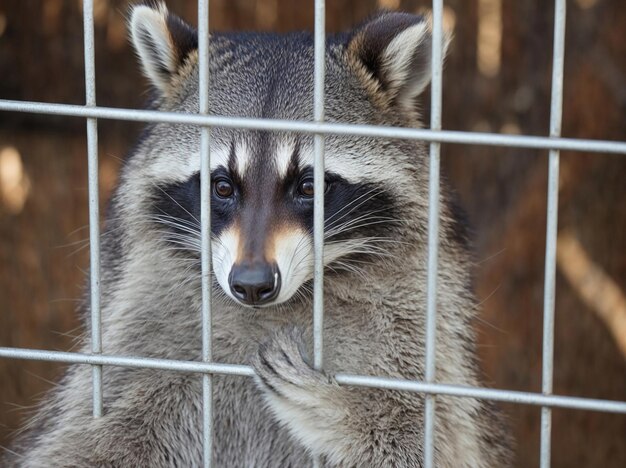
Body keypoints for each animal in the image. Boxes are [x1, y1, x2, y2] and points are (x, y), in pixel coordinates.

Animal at [7, 3, 510, 468]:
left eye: (309, 186)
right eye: (222, 186)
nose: (251, 284)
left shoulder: (421, 324)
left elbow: (431, 439)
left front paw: (340, 411)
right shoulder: (141, 324)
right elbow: (86, 441)